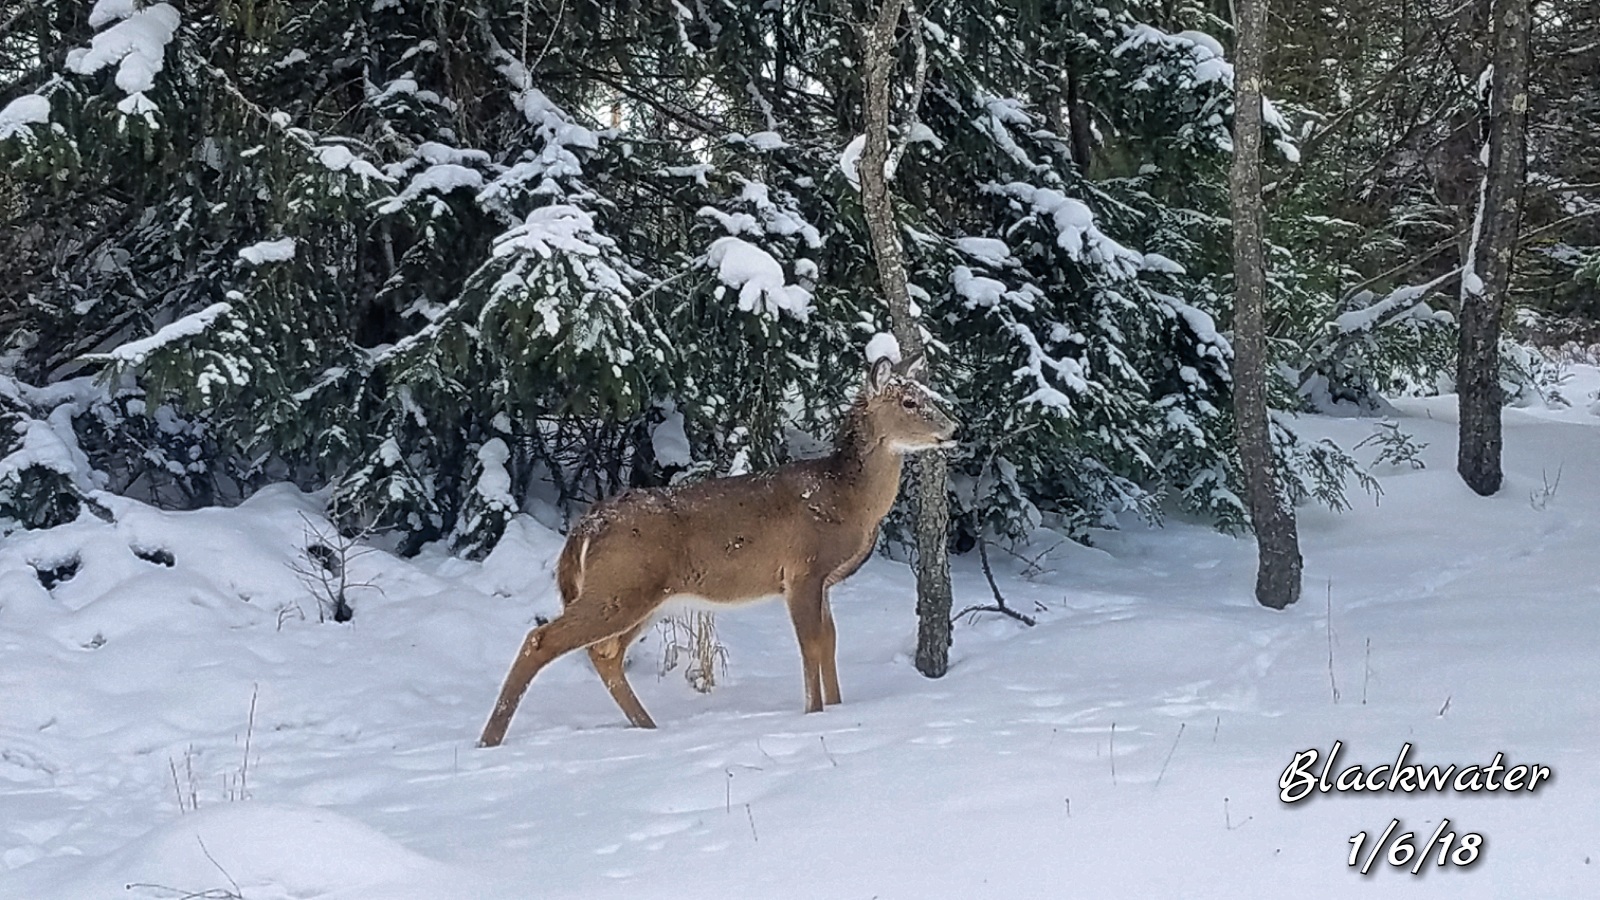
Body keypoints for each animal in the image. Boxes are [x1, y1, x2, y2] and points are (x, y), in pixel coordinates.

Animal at [477, 358, 957, 747]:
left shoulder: (823, 581)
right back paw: (489, 741)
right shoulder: (801, 570)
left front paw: (838, 709)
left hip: (641, 594)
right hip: (619, 586)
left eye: (931, 395)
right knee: (542, 639)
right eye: (910, 401)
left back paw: (647, 728)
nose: (954, 429)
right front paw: (815, 714)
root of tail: (586, 525)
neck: (846, 500)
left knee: (605, 654)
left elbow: (830, 641)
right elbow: (810, 644)